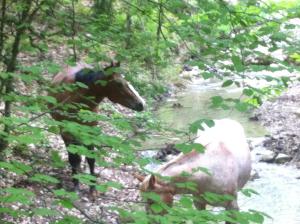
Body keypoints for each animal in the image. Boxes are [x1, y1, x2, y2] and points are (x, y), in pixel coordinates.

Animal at [49, 61, 145, 198]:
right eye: (119, 84)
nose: (141, 104)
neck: (77, 99)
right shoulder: (67, 131)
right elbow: (74, 158)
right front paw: (76, 184)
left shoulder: (90, 131)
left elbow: (91, 158)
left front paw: (92, 188)